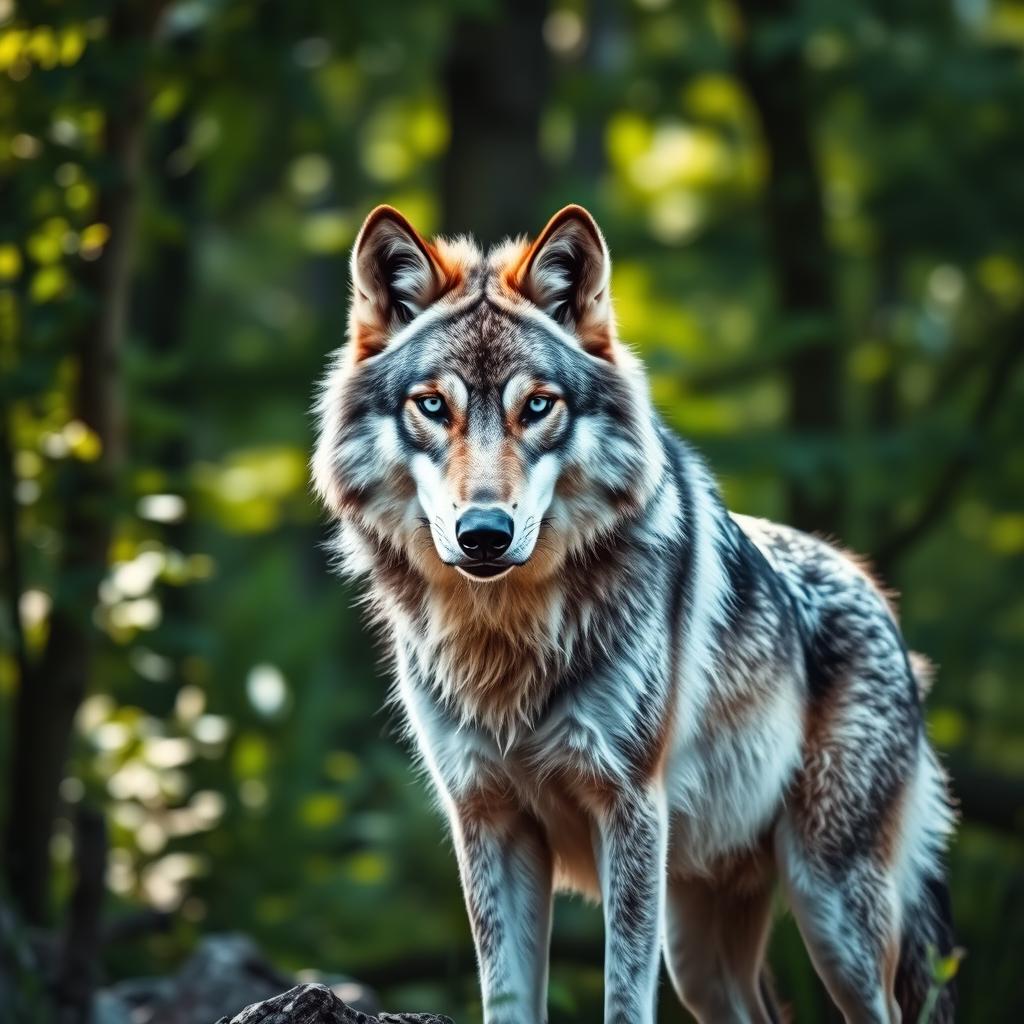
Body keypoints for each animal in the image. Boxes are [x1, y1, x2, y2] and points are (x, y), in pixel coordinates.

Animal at [312, 203, 956, 1024]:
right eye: (433, 406)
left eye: (538, 406)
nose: (484, 533)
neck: (509, 641)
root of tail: (883, 606)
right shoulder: (488, 820)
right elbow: (507, 998)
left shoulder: (630, 810)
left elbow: (622, 997)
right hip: (701, 953)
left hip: (830, 911)